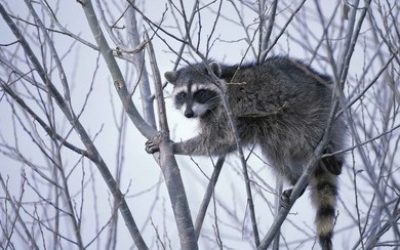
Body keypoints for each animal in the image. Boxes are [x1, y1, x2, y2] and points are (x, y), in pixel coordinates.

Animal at [145, 56, 346, 250]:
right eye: (182, 95)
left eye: (200, 92)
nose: (188, 113)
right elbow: (224, 143)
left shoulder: (229, 108)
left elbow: (218, 139)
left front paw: (175, 146)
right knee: (274, 150)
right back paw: (295, 180)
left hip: (317, 111)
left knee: (309, 132)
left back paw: (332, 161)